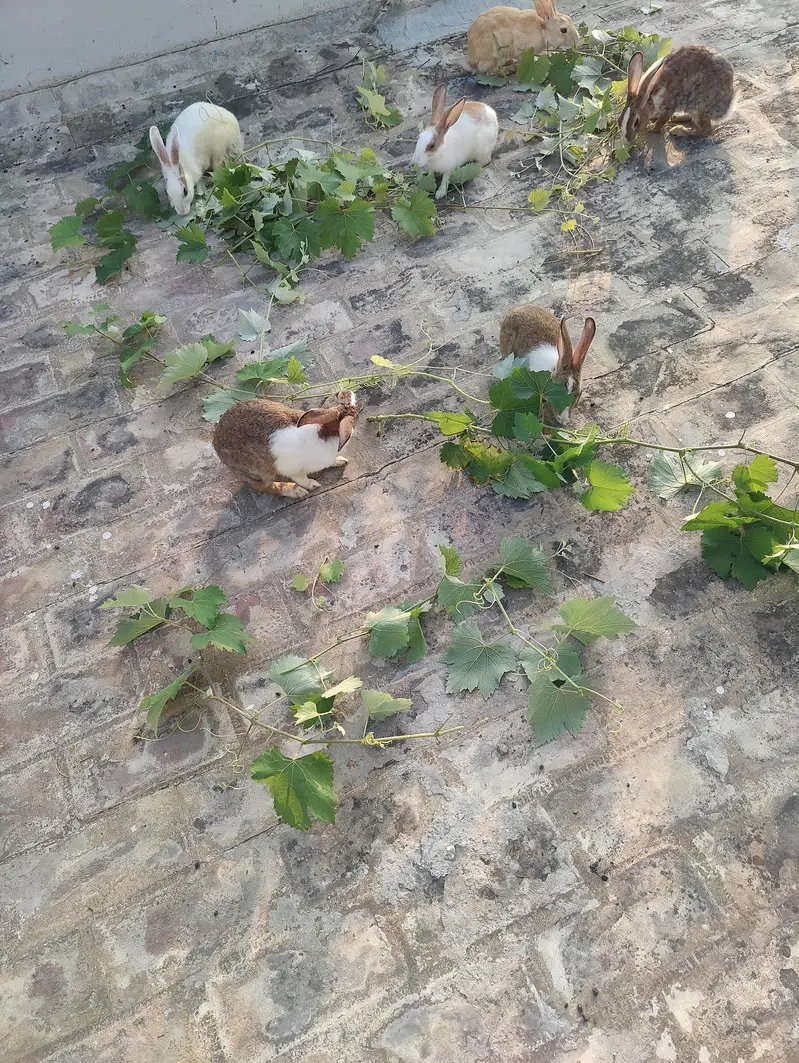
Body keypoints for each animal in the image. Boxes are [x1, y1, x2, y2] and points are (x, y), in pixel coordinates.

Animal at [212, 390, 358, 498]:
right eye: (355, 415)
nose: (345, 391)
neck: (323, 432)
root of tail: (215, 443)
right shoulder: (295, 470)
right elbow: (302, 479)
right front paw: (313, 485)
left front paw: (340, 460)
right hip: (258, 472)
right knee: (263, 486)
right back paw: (295, 491)